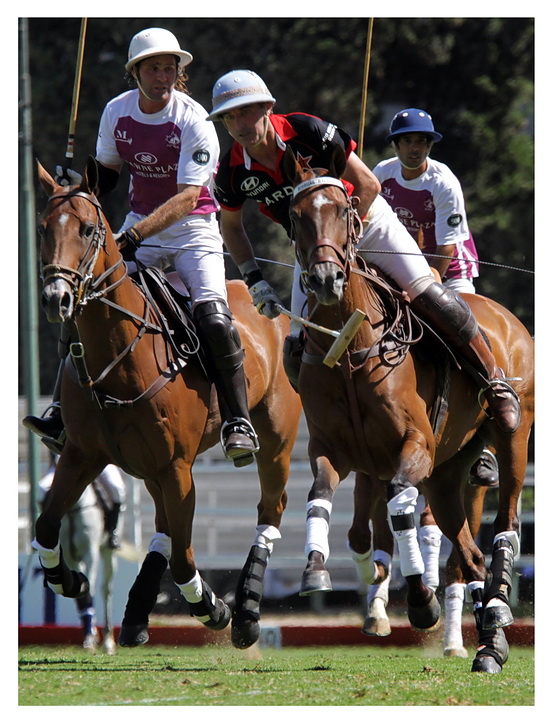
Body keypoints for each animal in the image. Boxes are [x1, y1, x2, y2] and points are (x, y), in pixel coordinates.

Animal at [32, 157, 301, 650]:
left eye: (87, 229)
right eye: (42, 228)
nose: (55, 298)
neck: (118, 357)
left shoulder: (176, 466)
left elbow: (182, 558)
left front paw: (213, 607)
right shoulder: (83, 454)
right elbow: (45, 528)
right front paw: (72, 581)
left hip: (275, 441)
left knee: (269, 510)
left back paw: (246, 613)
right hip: (150, 468)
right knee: (161, 527)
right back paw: (136, 616)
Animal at [283, 145, 534, 673]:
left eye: (344, 211)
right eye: (295, 216)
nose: (326, 279)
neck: (349, 343)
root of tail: (511, 320)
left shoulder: (414, 444)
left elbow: (400, 504)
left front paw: (421, 601)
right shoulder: (333, 449)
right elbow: (322, 496)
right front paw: (316, 571)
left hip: (512, 442)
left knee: (505, 527)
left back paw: (493, 628)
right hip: (448, 471)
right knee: (470, 553)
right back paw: (489, 640)